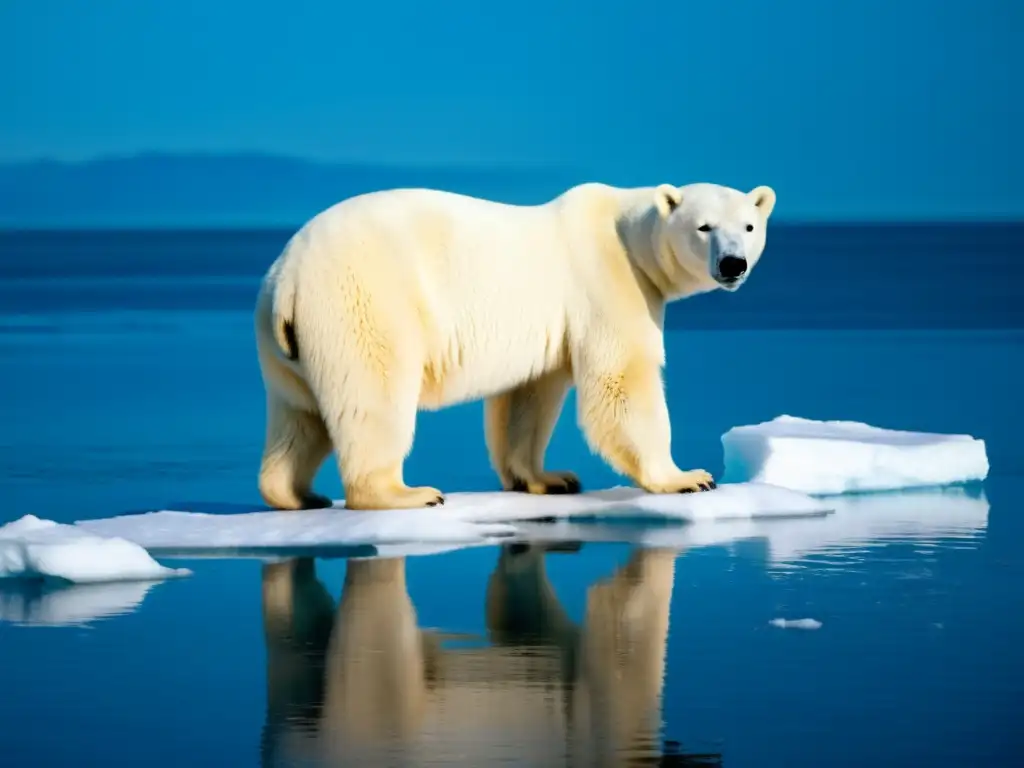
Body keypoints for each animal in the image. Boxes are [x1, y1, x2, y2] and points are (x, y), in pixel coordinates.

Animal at [253, 180, 774, 512]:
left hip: (284, 342)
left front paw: (548, 479)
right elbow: (622, 380)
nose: (733, 264)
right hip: (363, 301)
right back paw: (406, 493)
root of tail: (287, 275)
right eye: (704, 227)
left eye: (749, 227)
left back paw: (297, 493)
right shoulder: (609, 282)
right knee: (374, 397)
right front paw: (688, 477)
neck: (626, 231)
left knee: (299, 416)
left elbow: (529, 397)